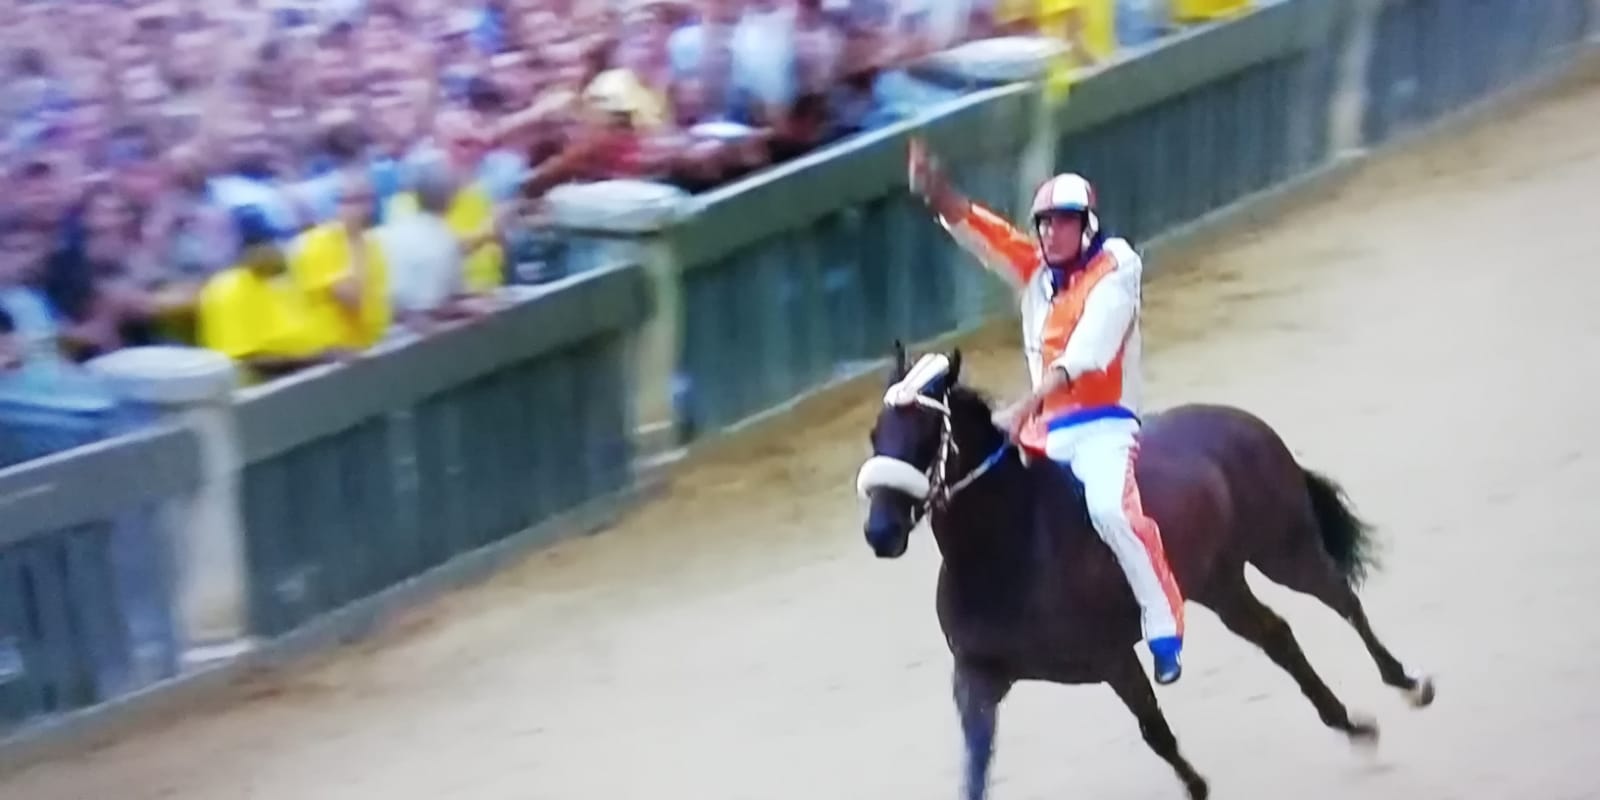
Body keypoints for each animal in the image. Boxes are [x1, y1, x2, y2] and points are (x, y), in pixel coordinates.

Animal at [853, 343, 1436, 800]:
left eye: (928, 433)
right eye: (876, 432)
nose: (881, 532)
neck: (1010, 548)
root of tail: (1241, 421)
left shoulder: (1113, 657)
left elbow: (1155, 730)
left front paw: (1197, 787)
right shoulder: (977, 679)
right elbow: (974, 773)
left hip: (1283, 549)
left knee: (1342, 598)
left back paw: (1407, 683)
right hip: (1218, 582)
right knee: (1277, 634)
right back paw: (1350, 724)